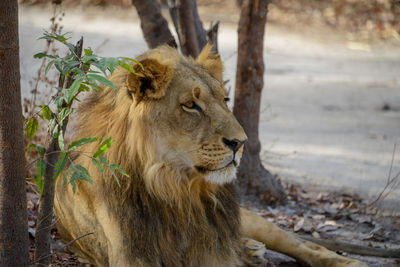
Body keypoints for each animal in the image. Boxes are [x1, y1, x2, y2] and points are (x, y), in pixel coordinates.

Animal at [54, 45, 368, 266]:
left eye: (224, 100)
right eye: (190, 105)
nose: (241, 143)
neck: (175, 191)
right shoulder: (131, 256)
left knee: (304, 244)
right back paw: (250, 250)